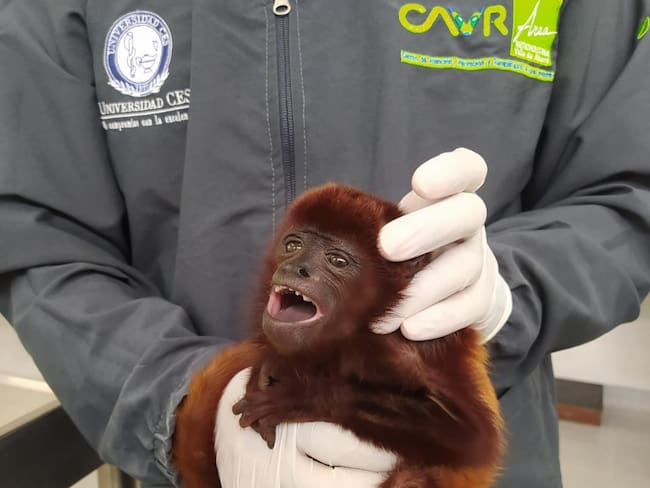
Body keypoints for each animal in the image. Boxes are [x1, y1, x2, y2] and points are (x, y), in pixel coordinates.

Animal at [172, 183, 504, 488]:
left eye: (338, 261)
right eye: (293, 245)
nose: (296, 267)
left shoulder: (409, 347)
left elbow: (472, 437)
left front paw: (302, 395)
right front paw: (266, 370)